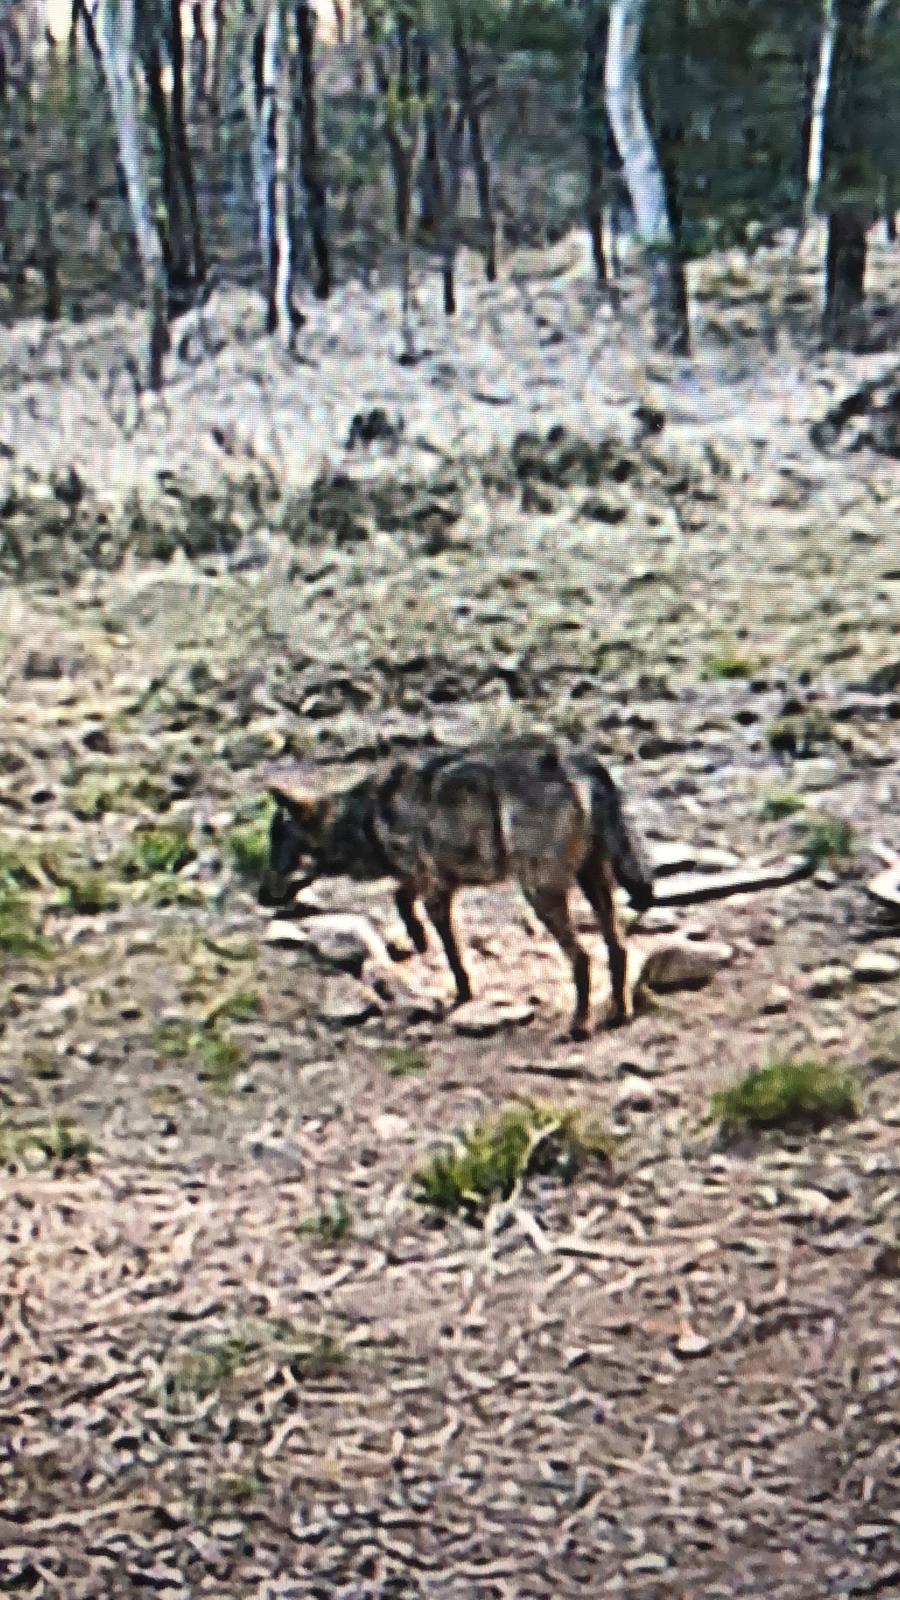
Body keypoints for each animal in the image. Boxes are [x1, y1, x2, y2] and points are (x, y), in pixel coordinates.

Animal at [261, 739, 653, 1038]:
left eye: (282, 847)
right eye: (272, 846)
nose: (261, 897)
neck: (367, 818)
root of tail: (579, 761)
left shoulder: (436, 892)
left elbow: (453, 956)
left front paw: (460, 995)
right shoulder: (433, 882)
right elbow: (401, 899)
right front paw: (418, 939)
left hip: (542, 895)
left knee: (582, 958)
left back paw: (580, 1025)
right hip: (592, 883)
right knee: (617, 948)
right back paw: (618, 1014)